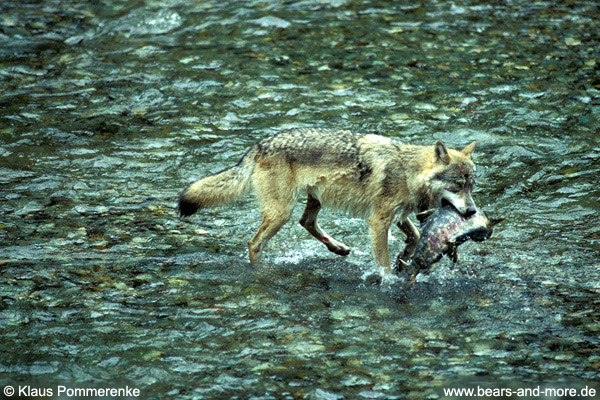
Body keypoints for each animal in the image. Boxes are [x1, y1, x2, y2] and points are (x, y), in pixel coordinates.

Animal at [176, 129, 476, 276]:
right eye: (457, 185)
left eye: (472, 186)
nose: (472, 210)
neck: (407, 171)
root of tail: (258, 145)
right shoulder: (378, 220)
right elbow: (382, 259)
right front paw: (389, 279)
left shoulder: (400, 216)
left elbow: (413, 236)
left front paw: (404, 259)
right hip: (282, 212)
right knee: (255, 243)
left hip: (313, 199)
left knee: (306, 222)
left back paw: (337, 248)